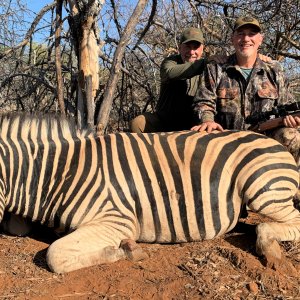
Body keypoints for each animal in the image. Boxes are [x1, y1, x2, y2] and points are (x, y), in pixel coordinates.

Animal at [0, 113, 298, 274]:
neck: (58, 173)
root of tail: (274, 142)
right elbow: (17, 227)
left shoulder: (116, 220)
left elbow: (55, 255)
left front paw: (127, 250)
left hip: (262, 188)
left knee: (278, 223)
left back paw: (270, 248)